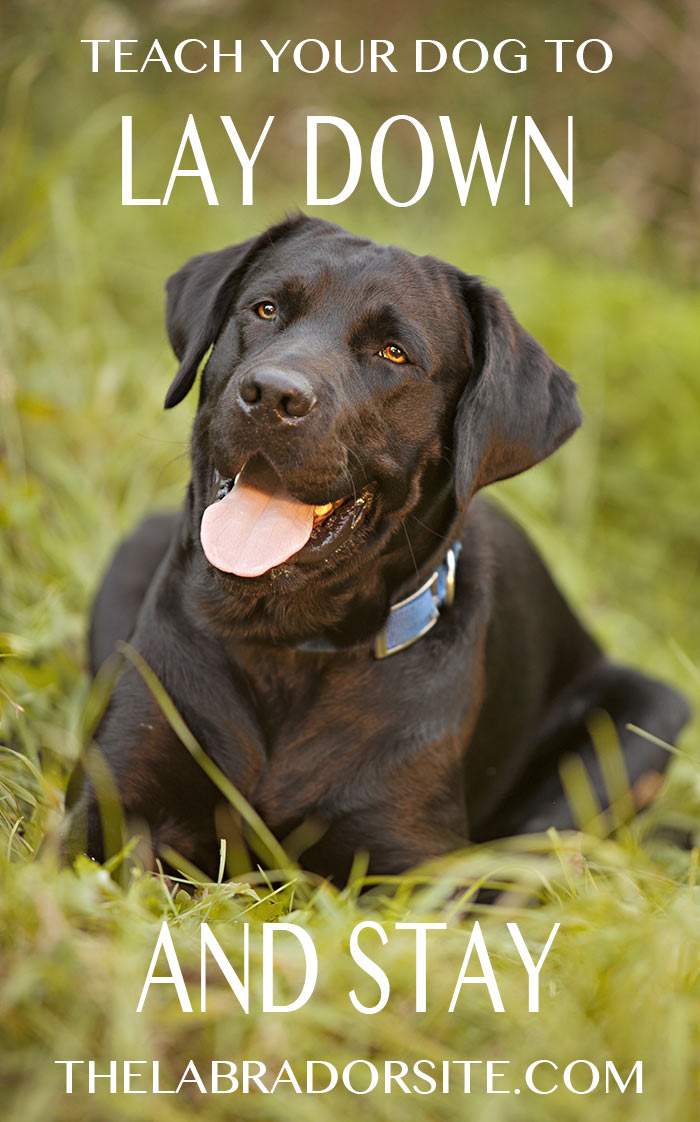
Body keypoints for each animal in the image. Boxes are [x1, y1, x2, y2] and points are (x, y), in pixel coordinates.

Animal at [62, 214, 691, 879]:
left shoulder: (410, 861)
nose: (272, 394)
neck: (290, 646)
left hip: (640, 721)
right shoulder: (110, 803)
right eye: (265, 309)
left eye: (395, 353)